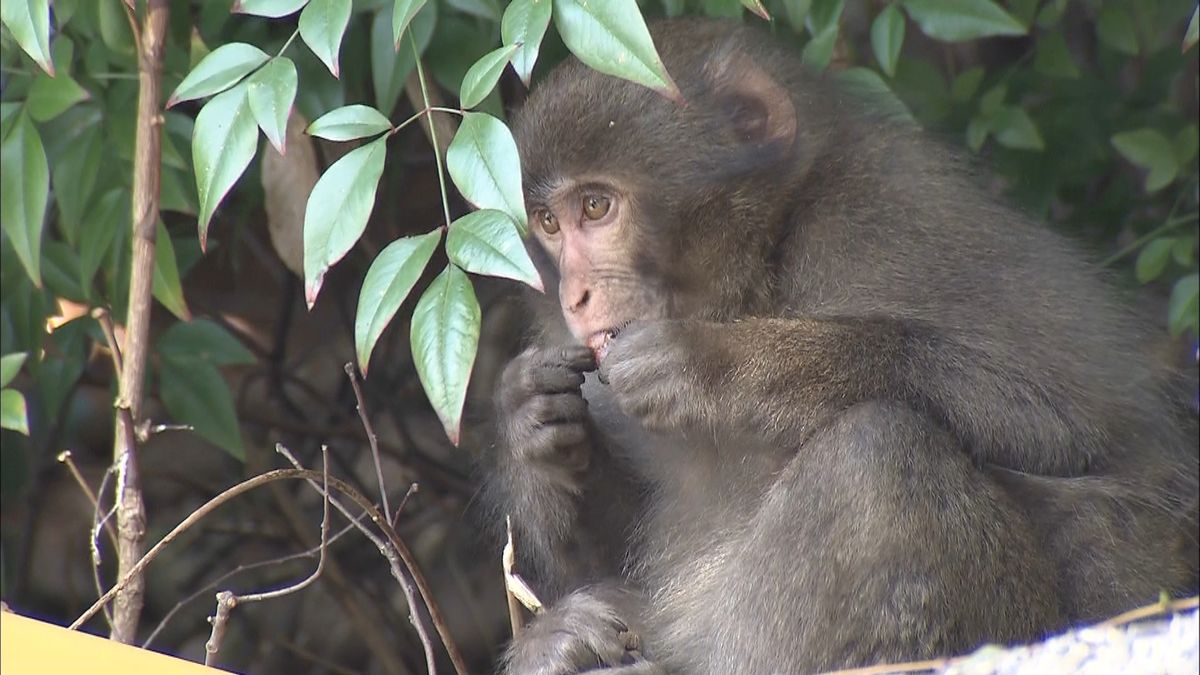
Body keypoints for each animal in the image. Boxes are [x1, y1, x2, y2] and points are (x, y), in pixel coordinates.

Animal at [477, 17, 1200, 672]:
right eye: (548, 222)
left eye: (596, 207)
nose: (574, 295)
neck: (760, 264)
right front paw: (530, 422)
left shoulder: (883, 218)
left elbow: (1072, 423)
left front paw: (715, 366)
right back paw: (559, 644)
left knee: (874, 454)